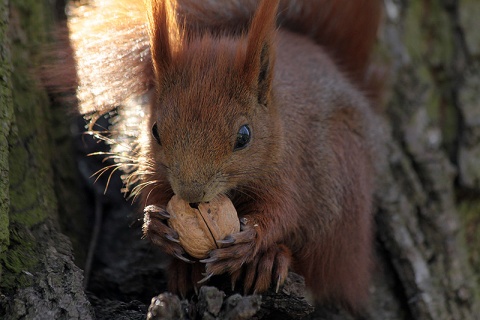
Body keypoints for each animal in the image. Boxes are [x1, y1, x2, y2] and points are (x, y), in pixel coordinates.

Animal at [47, 0, 382, 312]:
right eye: (155, 130)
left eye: (244, 136)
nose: (192, 195)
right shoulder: (149, 166)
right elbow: (151, 192)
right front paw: (154, 223)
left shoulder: (290, 169)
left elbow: (282, 212)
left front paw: (251, 241)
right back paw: (185, 271)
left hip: (339, 200)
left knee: (317, 266)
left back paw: (271, 259)